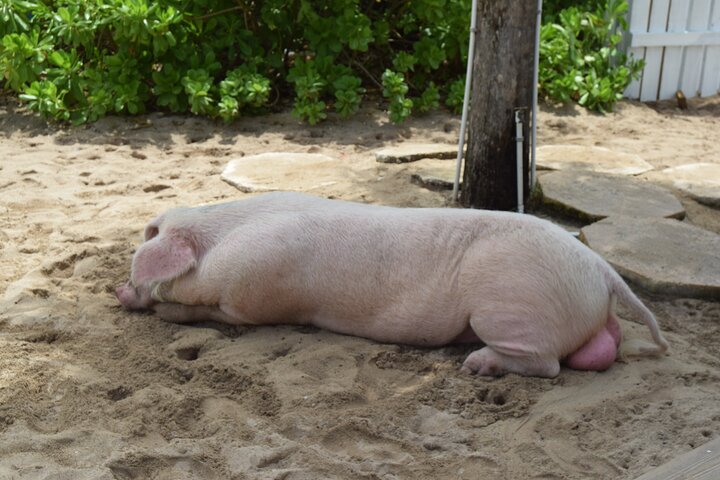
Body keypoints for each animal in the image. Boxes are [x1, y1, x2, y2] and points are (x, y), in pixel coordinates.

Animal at [116, 192, 669, 378]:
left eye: (150, 233)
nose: (119, 289)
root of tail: (601, 270)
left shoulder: (251, 300)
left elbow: (204, 312)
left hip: (510, 307)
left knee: (548, 364)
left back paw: (476, 366)